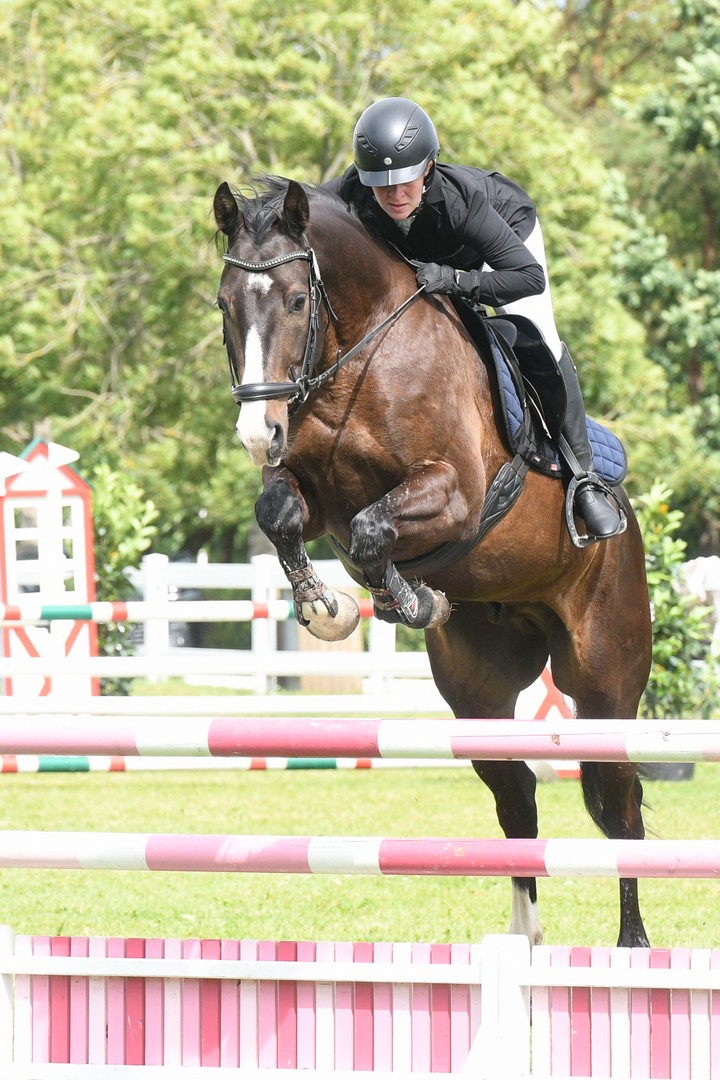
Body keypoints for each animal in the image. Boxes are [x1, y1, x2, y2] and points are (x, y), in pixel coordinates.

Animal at [213, 175, 654, 948]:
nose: (256, 433)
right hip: (479, 691)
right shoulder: (310, 493)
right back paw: (524, 940)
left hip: (604, 680)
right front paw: (331, 609)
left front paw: (407, 598)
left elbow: (371, 530)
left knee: (620, 804)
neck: (359, 356)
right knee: (517, 797)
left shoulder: (456, 495)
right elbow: (285, 516)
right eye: (223, 304)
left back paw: (633, 949)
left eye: (297, 300)